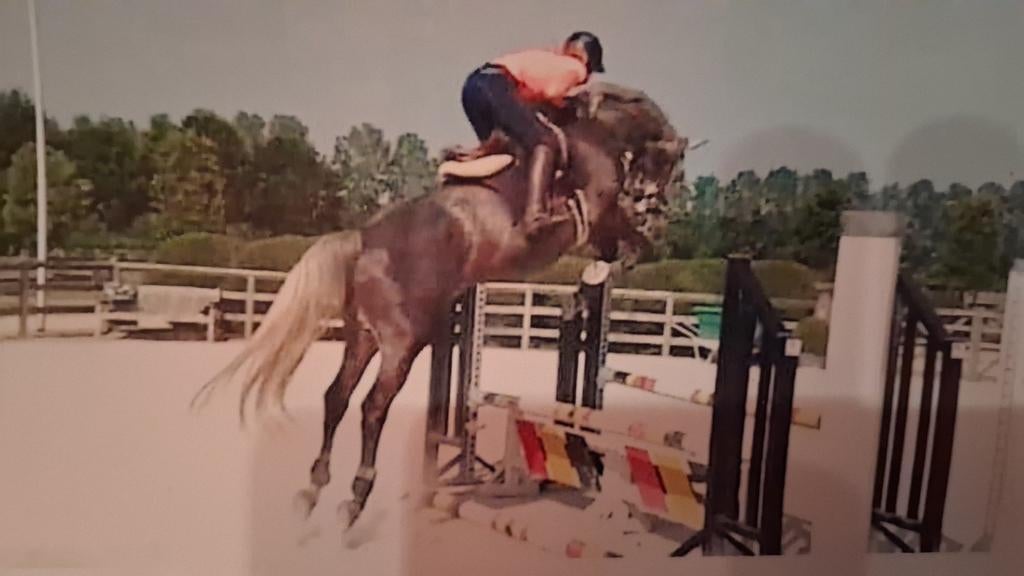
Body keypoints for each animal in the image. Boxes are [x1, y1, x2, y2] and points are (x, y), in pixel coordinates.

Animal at [193, 81, 687, 529]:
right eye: (669, 167)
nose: (656, 204)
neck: (596, 132)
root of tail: (365, 239)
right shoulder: (600, 218)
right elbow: (629, 244)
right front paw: (605, 272)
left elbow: (620, 248)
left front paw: (596, 280)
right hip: (403, 343)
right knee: (372, 407)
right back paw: (356, 496)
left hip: (363, 336)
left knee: (336, 398)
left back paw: (313, 489)